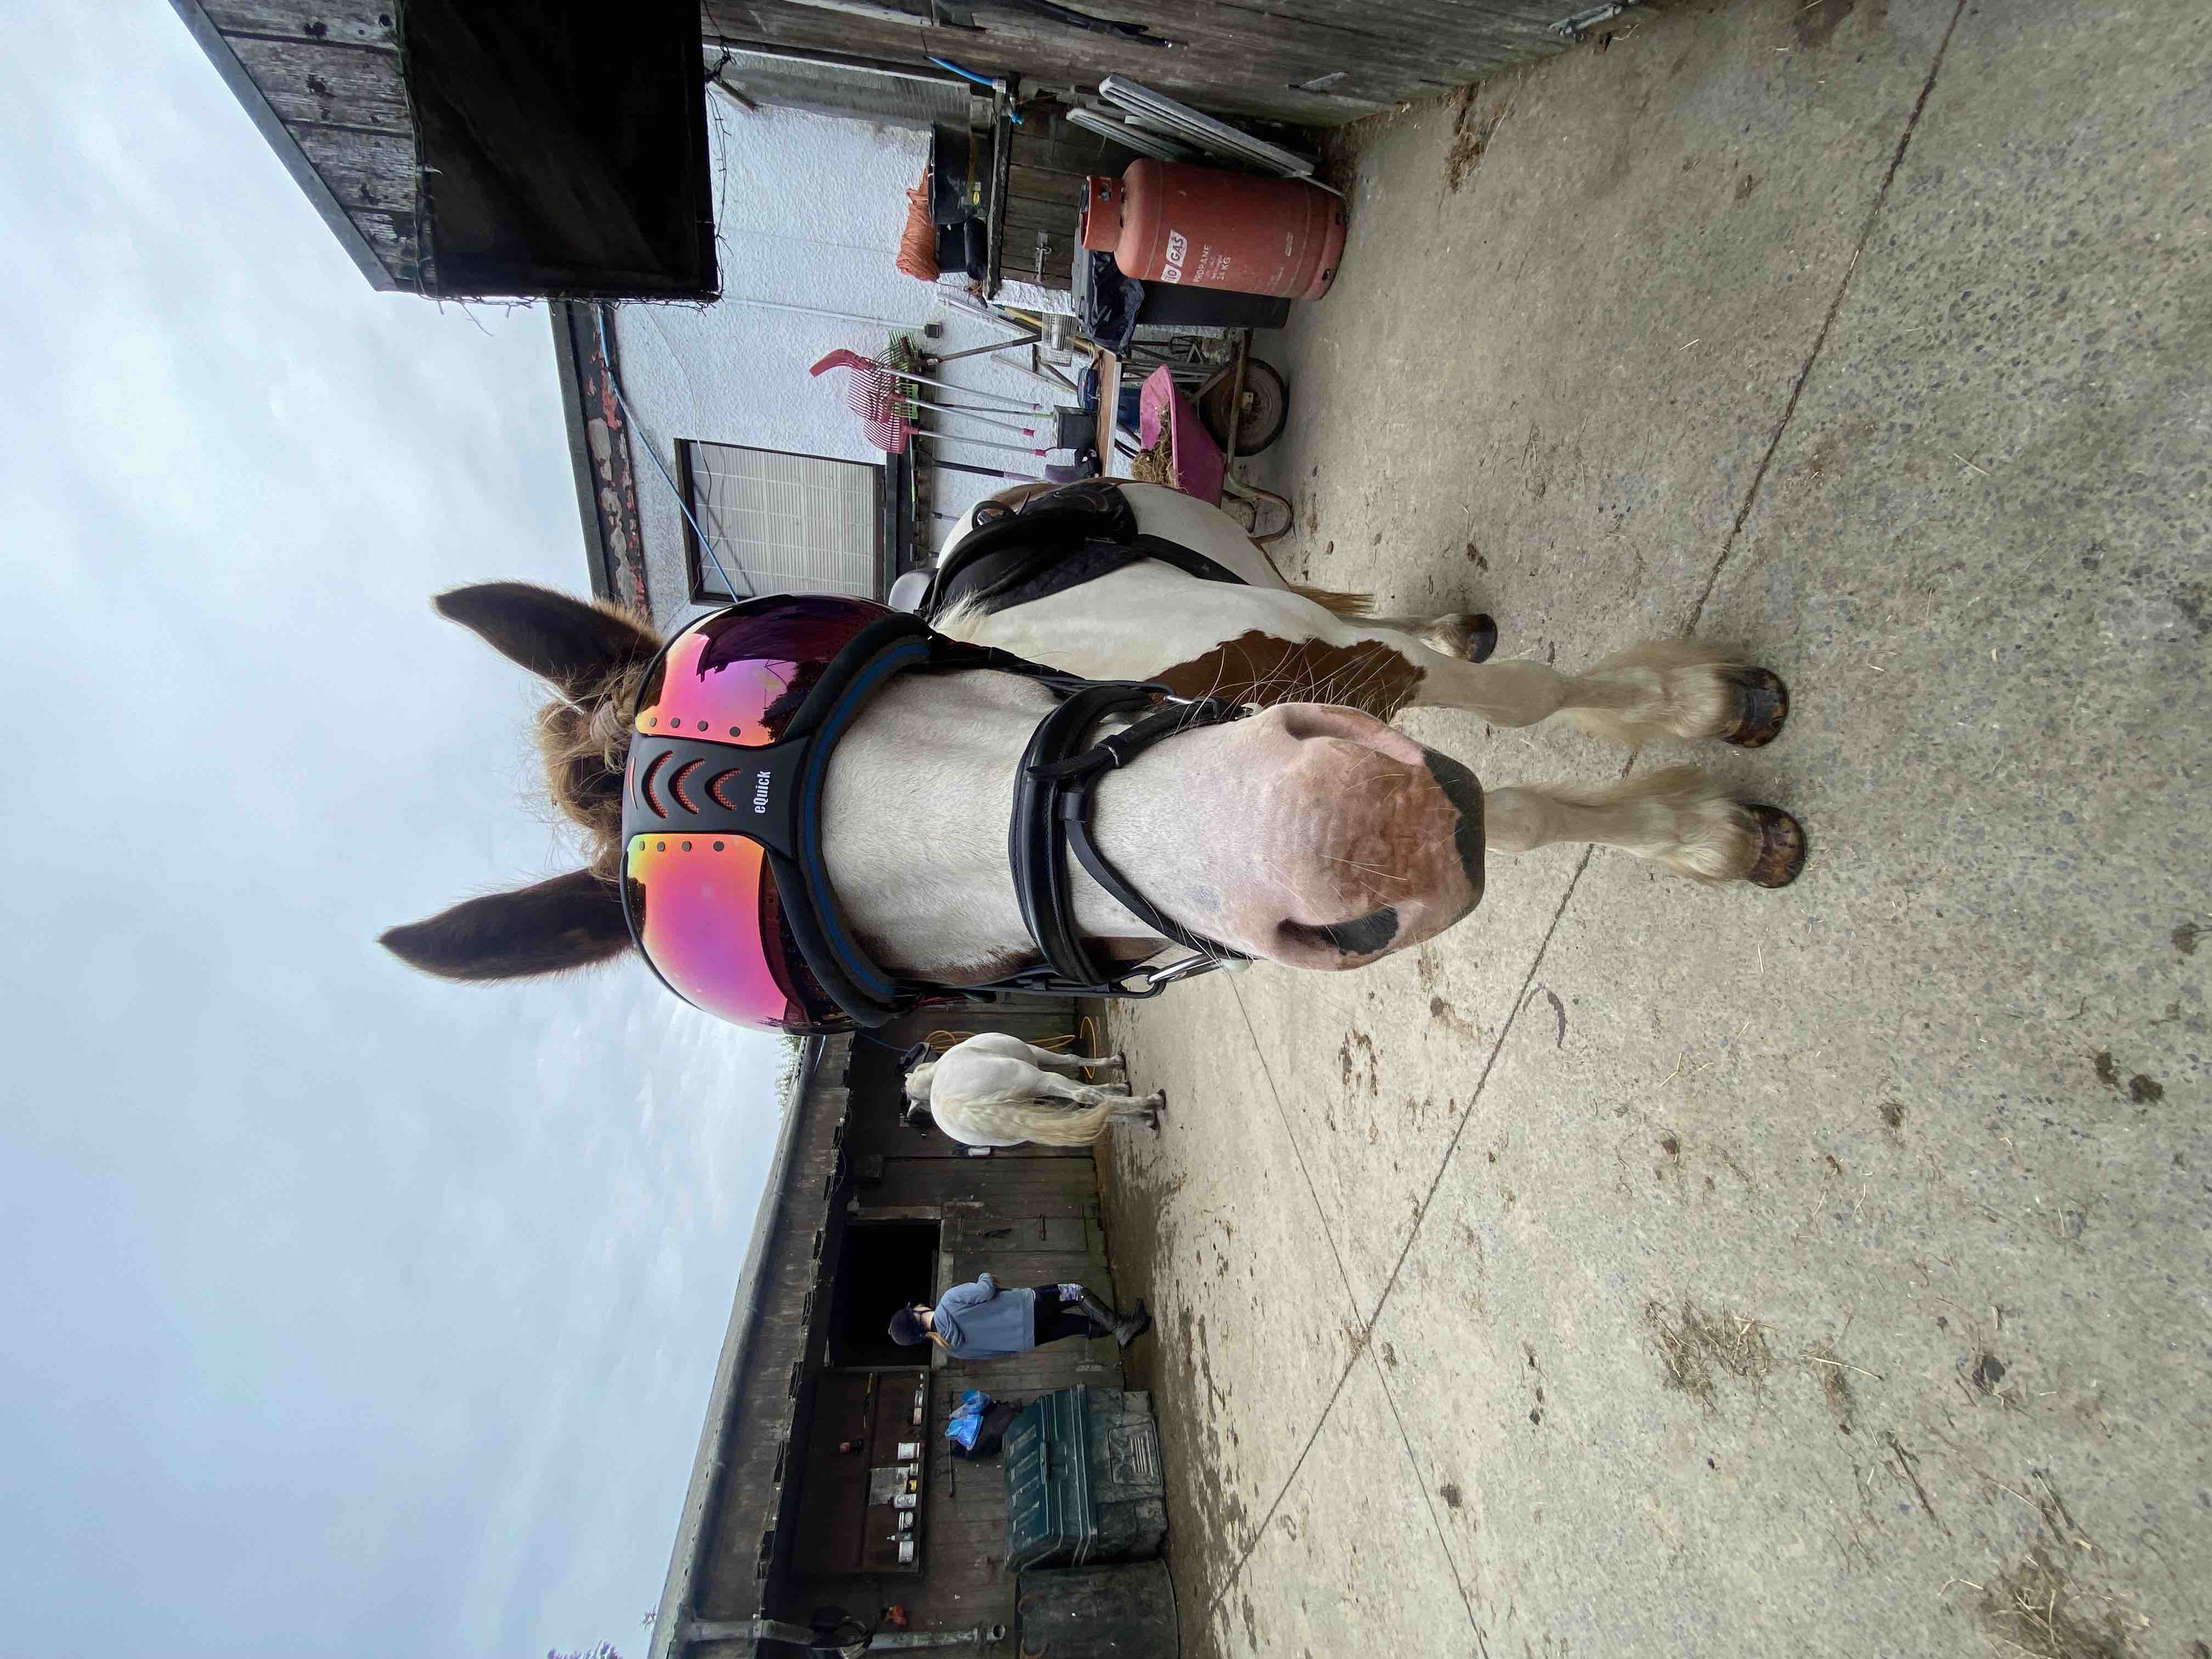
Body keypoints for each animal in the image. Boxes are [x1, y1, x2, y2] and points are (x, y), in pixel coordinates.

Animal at [379, 481, 1801, 1000]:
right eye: (926, 977)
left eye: (873, 671)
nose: (1356, 844)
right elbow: (1515, 807)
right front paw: (1699, 830)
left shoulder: (1337, 675)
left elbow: (1528, 716)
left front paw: (1689, 736)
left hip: (1258, 575)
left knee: (1368, 618)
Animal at [903, 1032, 1162, 1149]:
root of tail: (956, 1106)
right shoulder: (1037, 1056)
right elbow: (1074, 1063)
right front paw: (1117, 1068)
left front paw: (1118, 1087)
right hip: (1040, 1079)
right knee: (1088, 1098)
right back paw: (1153, 1103)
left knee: (1092, 1111)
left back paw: (1146, 1117)